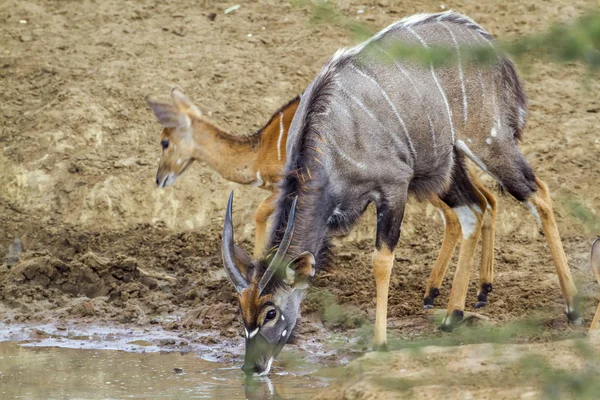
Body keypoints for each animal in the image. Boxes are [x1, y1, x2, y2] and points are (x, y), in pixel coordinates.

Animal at [221, 10, 580, 376]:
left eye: (271, 312)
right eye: (241, 310)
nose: (253, 367)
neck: (333, 137)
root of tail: (496, 51)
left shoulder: (394, 187)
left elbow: (382, 260)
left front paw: (380, 343)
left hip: (489, 144)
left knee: (538, 193)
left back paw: (572, 306)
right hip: (447, 164)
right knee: (475, 209)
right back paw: (453, 314)